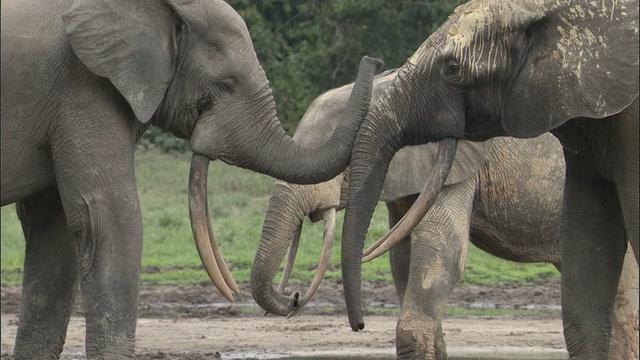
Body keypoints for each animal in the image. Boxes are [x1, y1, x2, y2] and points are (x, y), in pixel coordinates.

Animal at [250, 70, 640, 360]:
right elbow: (404, 260)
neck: (393, 87)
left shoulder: (455, 166)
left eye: (343, 161)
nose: (294, 296)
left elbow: (443, 250)